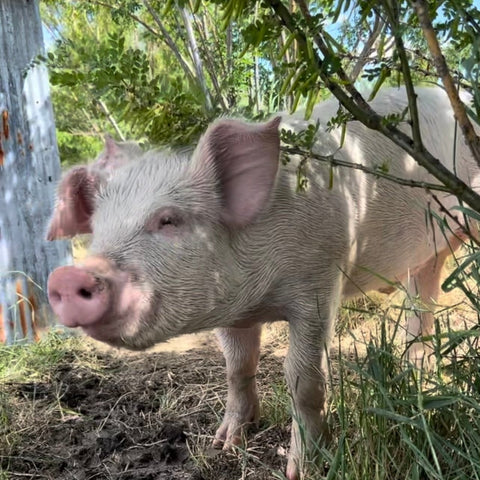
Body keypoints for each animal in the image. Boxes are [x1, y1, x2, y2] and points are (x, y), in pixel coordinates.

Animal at [46, 88, 480, 478]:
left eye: (168, 220)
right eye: (98, 228)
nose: (68, 276)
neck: (260, 295)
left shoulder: (320, 281)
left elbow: (304, 380)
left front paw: (303, 469)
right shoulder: (227, 307)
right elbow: (237, 366)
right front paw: (224, 443)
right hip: (425, 258)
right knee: (422, 299)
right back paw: (415, 371)